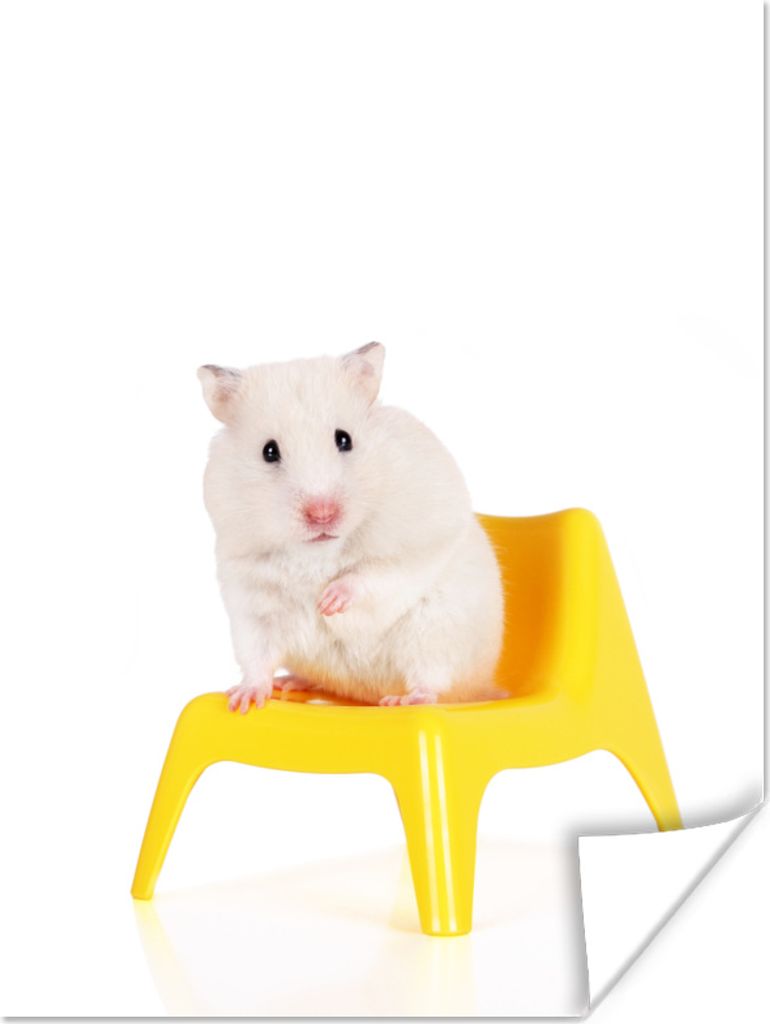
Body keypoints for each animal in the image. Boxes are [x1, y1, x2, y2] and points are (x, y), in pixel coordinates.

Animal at [197, 343, 505, 712]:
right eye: (269, 451)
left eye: (344, 439)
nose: (322, 514)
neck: (317, 551)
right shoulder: (251, 598)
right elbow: (256, 656)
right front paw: (243, 701)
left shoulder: (417, 543)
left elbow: (374, 574)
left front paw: (328, 601)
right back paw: (291, 683)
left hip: (435, 632)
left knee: (433, 682)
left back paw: (402, 700)